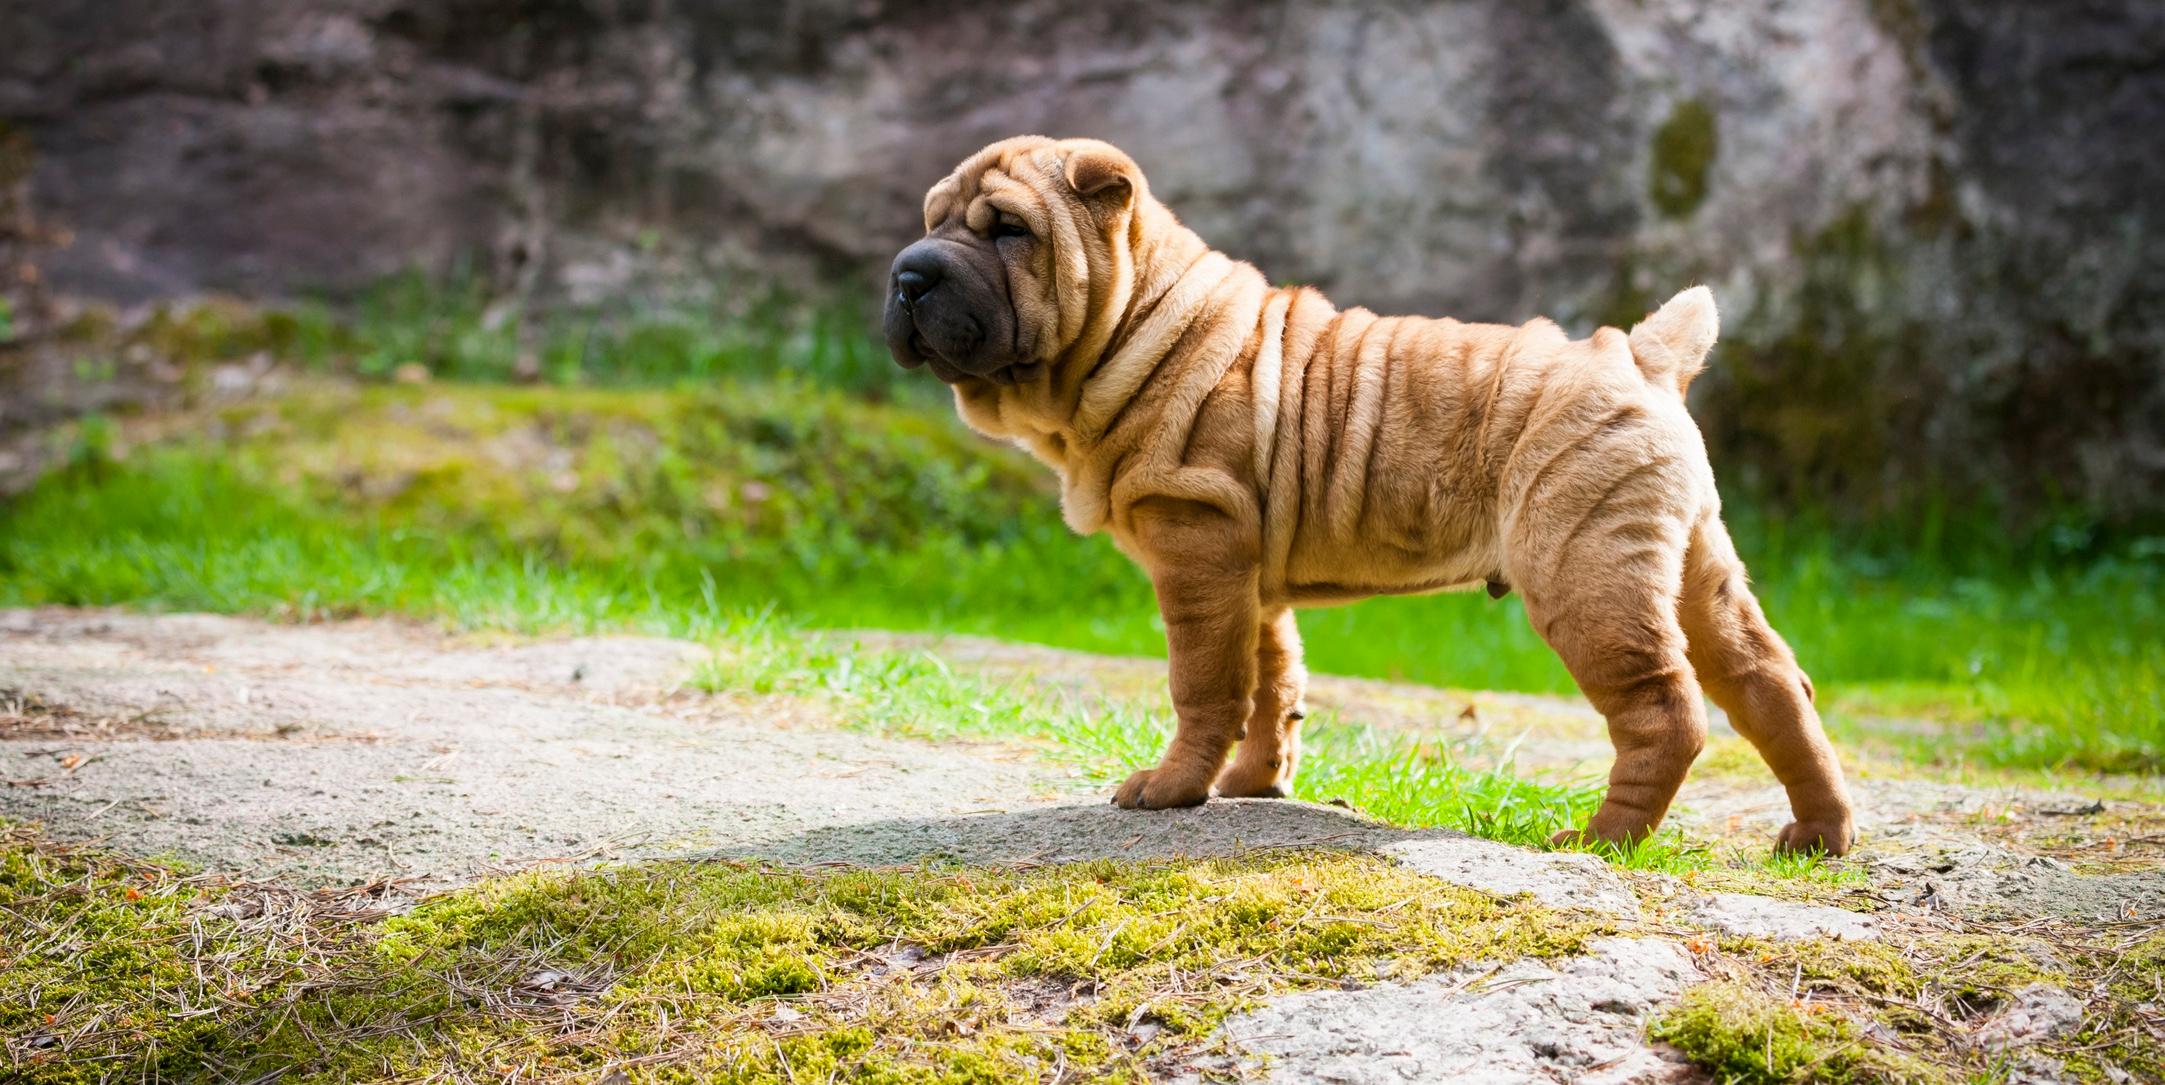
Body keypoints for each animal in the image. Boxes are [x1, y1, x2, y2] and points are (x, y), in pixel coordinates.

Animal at [870, 135, 1853, 848]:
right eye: (931, 220)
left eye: (1007, 230)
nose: (908, 273)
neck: (1136, 325)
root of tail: (1640, 353)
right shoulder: (1245, 569)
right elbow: (1271, 681)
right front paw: (1254, 783)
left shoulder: (1194, 541)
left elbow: (1203, 683)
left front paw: (1173, 789)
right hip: (1691, 562)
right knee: (1772, 684)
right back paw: (1816, 834)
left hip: (1584, 568)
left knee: (1663, 708)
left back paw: (1601, 838)